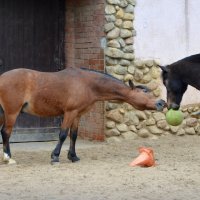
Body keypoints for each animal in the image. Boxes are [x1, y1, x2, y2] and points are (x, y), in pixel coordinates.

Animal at [0, 67, 166, 164]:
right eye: (145, 93)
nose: (162, 103)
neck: (86, 84)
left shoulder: (78, 115)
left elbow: (73, 135)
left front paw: (73, 156)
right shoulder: (70, 112)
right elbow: (63, 134)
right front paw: (55, 157)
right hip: (11, 113)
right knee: (6, 132)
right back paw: (8, 157)